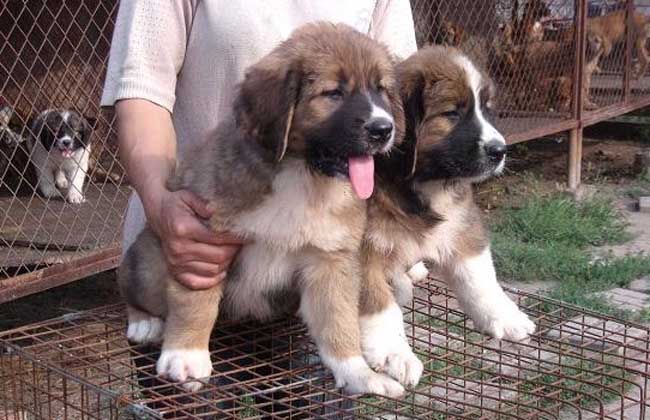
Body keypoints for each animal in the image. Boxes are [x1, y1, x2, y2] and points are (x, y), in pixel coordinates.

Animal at [117, 22, 410, 398]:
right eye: (333, 93)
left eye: (381, 91)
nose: (383, 129)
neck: (302, 174)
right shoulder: (204, 242)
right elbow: (195, 301)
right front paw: (187, 355)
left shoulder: (330, 261)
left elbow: (338, 322)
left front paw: (358, 373)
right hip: (151, 262)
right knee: (131, 286)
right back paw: (145, 322)